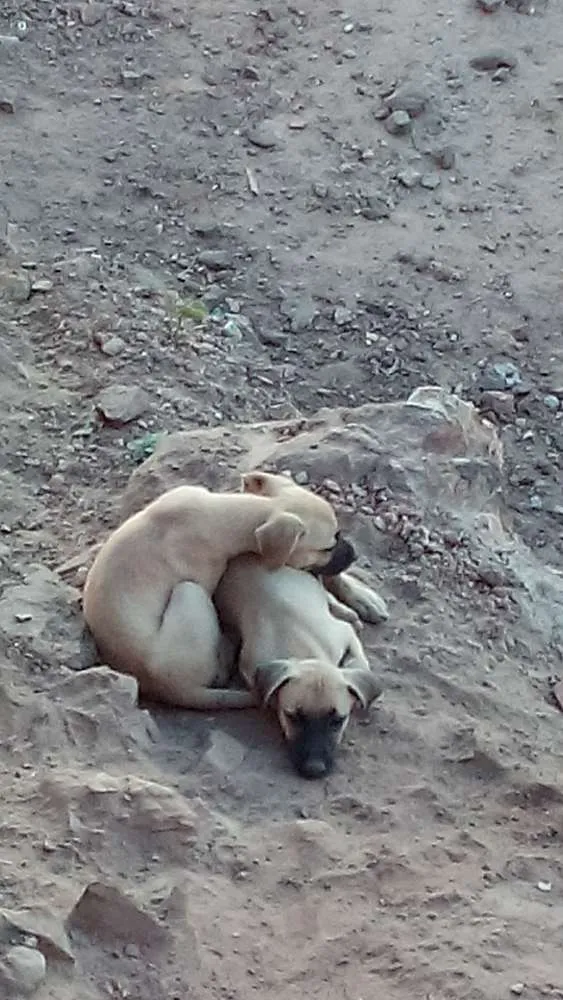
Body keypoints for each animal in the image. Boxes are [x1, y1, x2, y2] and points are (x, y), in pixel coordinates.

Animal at [82, 470, 354, 712]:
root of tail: (173, 690)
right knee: (218, 671)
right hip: (190, 591)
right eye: (328, 548)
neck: (218, 514)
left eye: (339, 532)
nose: (354, 555)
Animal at [215, 556, 384, 780]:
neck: (304, 650)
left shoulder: (344, 635)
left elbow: (358, 662)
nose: (314, 769)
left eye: (338, 721)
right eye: (292, 717)